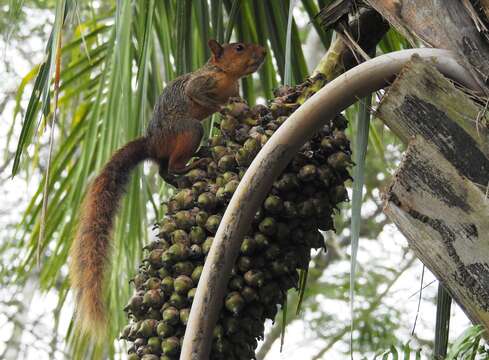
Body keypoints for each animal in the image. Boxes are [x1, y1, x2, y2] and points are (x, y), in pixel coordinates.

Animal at [70, 40, 264, 338]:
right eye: (239, 48)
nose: (263, 53)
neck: (227, 75)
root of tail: (152, 144)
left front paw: (247, 109)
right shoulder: (201, 83)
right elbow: (200, 95)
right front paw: (223, 107)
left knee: (164, 171)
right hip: (189, 129)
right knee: (173, 162)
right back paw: (192, 164)